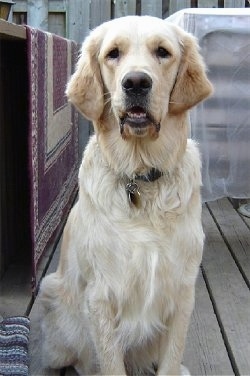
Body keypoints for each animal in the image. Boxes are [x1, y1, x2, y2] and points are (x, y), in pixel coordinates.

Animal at [39, 15, 213, 376]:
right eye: (113, 53)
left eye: (163, 52)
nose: (135, 82)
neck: (141, 178)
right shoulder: (101, 295)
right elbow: (110, 363)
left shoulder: (182, 290)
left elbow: (170, 359)